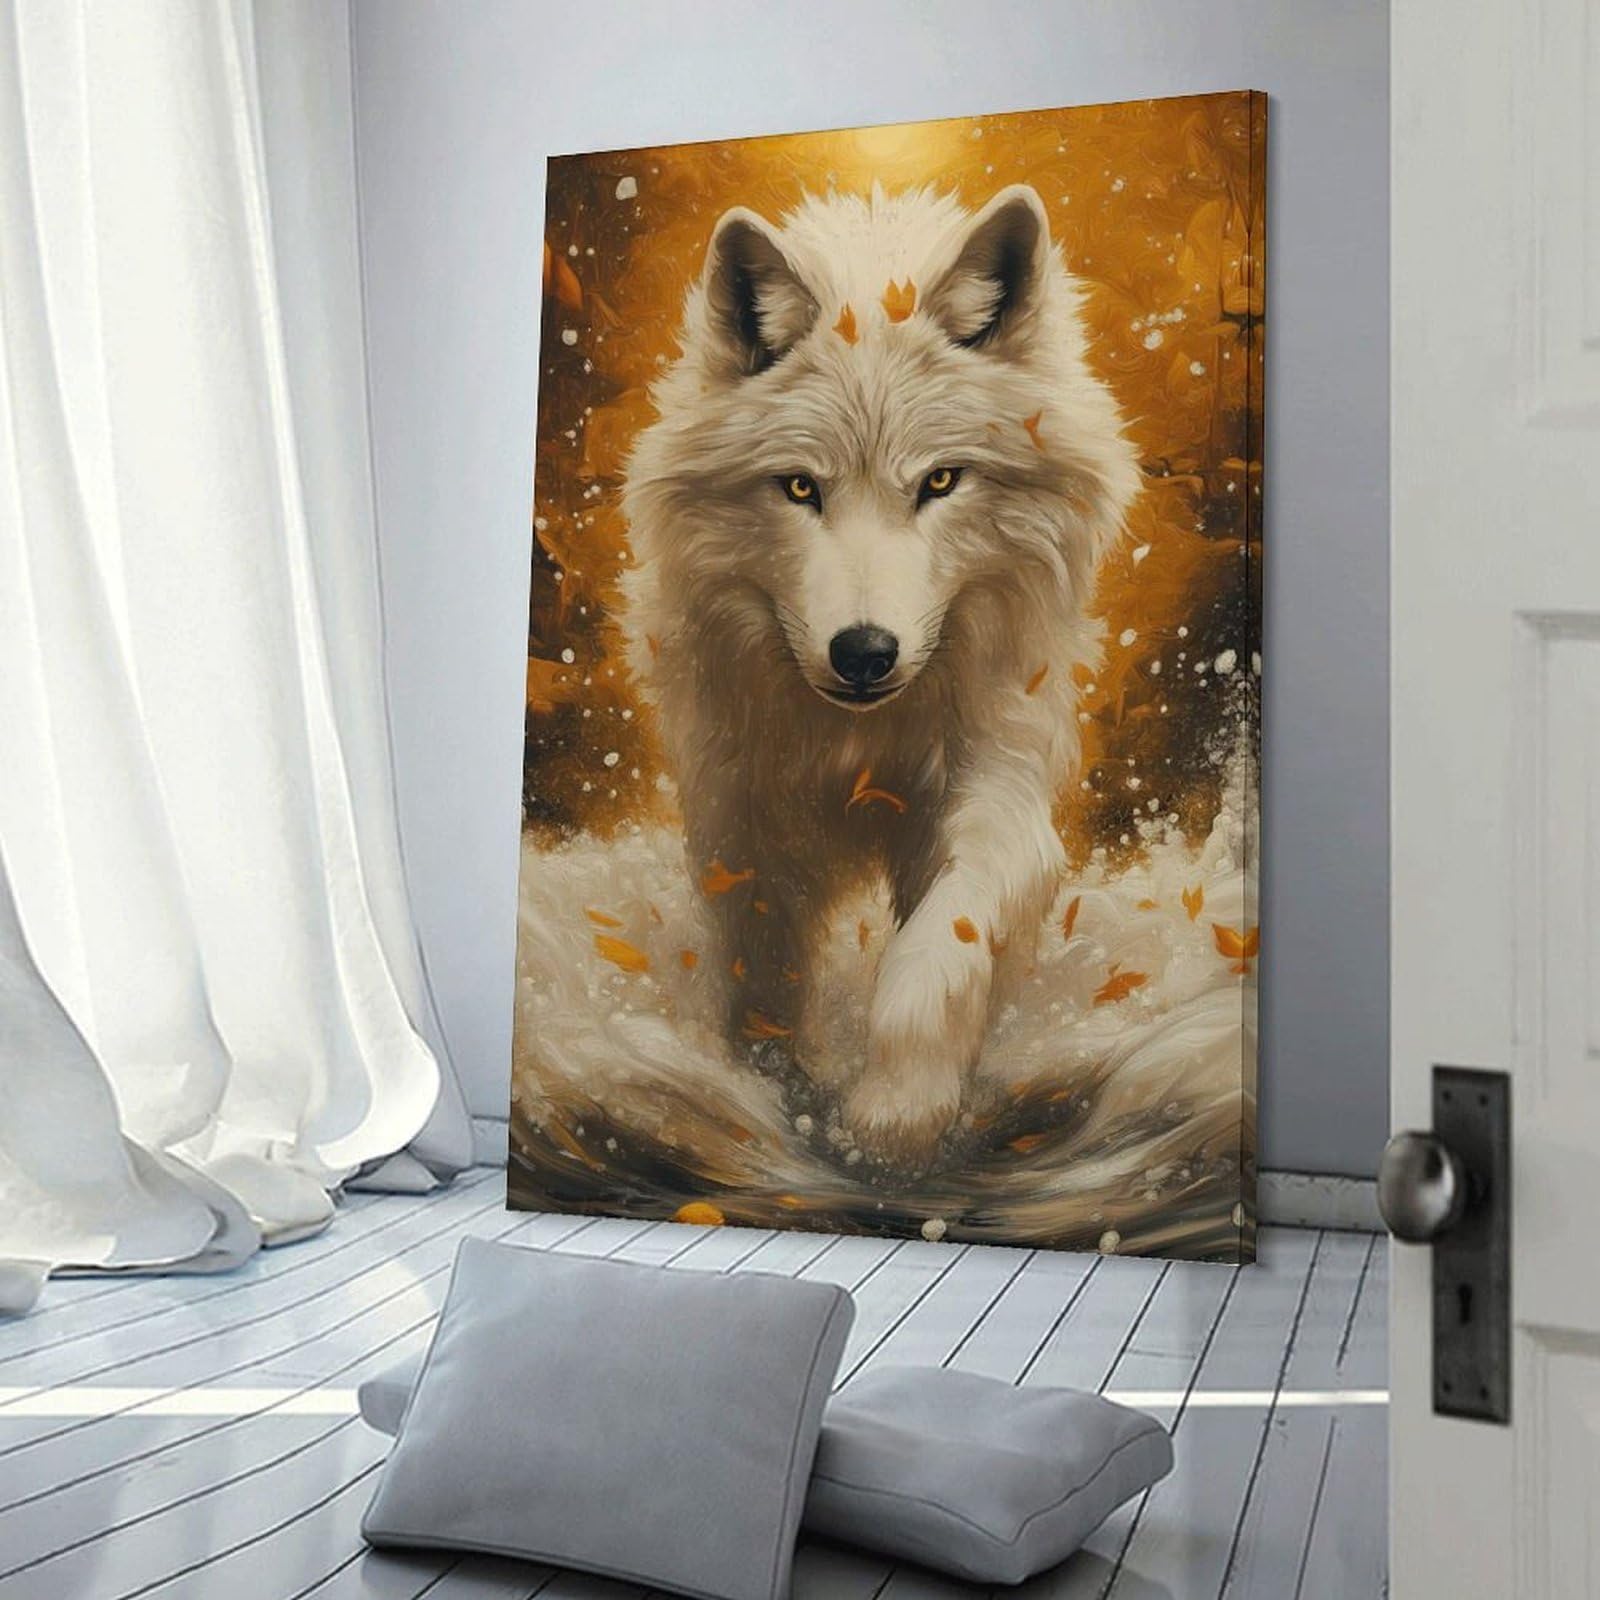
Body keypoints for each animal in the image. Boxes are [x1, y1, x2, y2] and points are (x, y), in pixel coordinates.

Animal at [620, 182, 1140, 1166]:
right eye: (798, 488)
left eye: (940, 481)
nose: (864, 653)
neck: (857, 748)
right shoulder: (737, 811)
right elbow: (764, 971)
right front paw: (773, 1093)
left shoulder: (998, 783)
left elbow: (938, 951)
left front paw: (897, 1116)